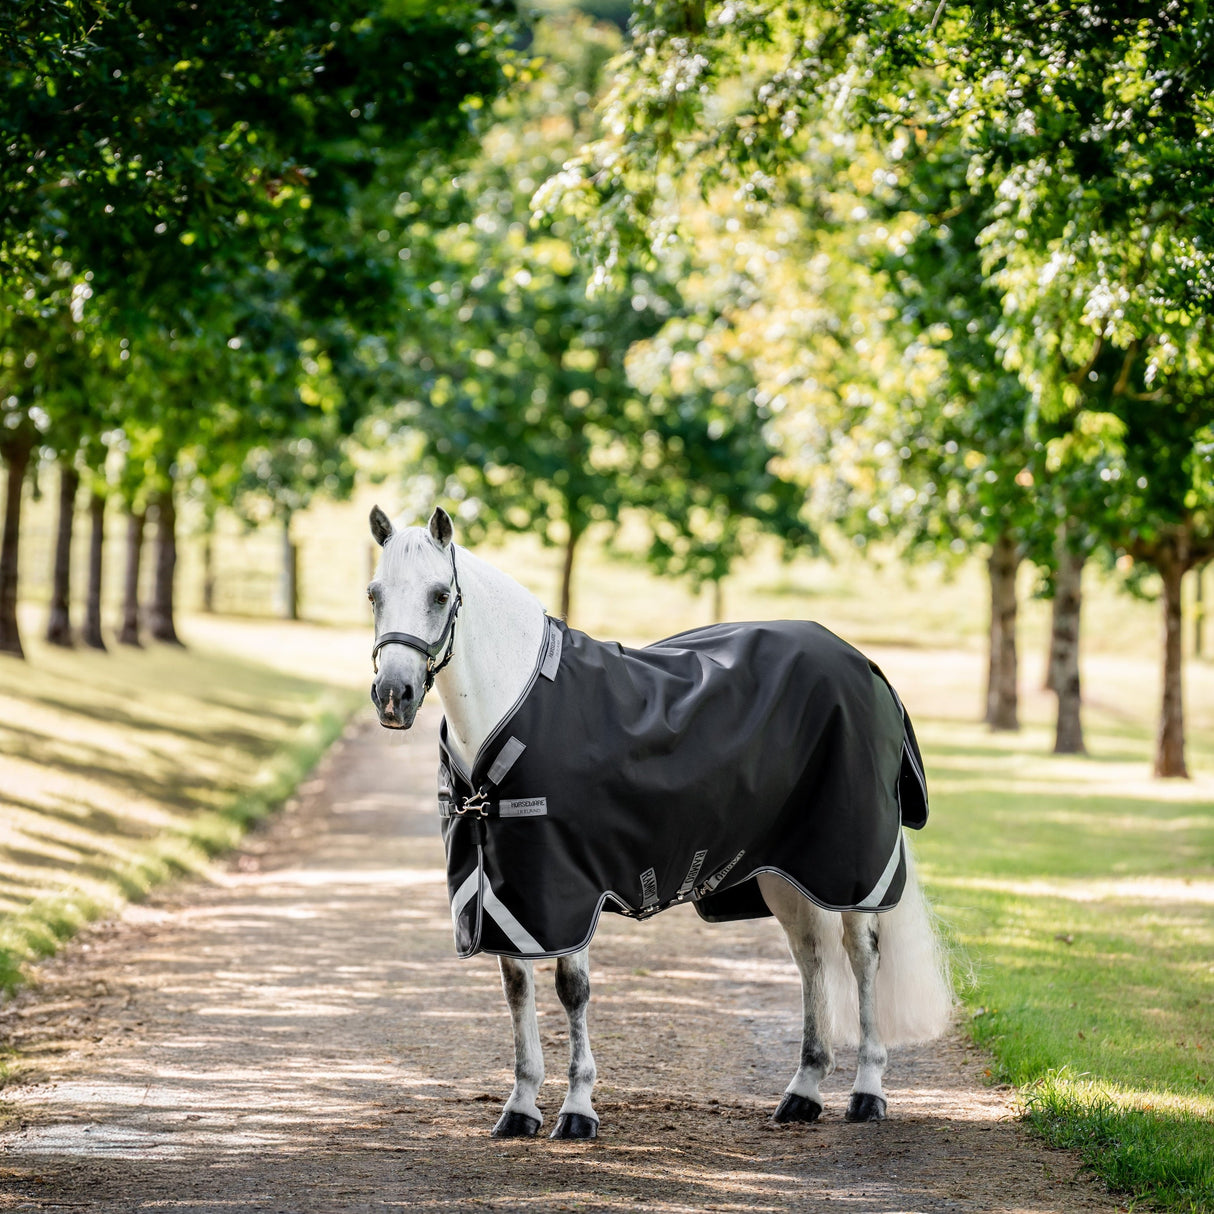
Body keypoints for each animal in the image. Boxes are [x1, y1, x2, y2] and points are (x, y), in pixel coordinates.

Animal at [364, 502, 951, 1136]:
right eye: (374, 594)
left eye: (440, 594)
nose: (393, 695)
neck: (514, 706)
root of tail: (863, 662)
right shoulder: (509, 894)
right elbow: (517, 988)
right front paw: (520, 1107)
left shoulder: (566, 890)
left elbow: (572, 990)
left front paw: (578, 1109)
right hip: (784, 868)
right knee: (811, 955)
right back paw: (804, 1092)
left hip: (850, 863)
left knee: (861, 955)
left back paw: (867, 1091)